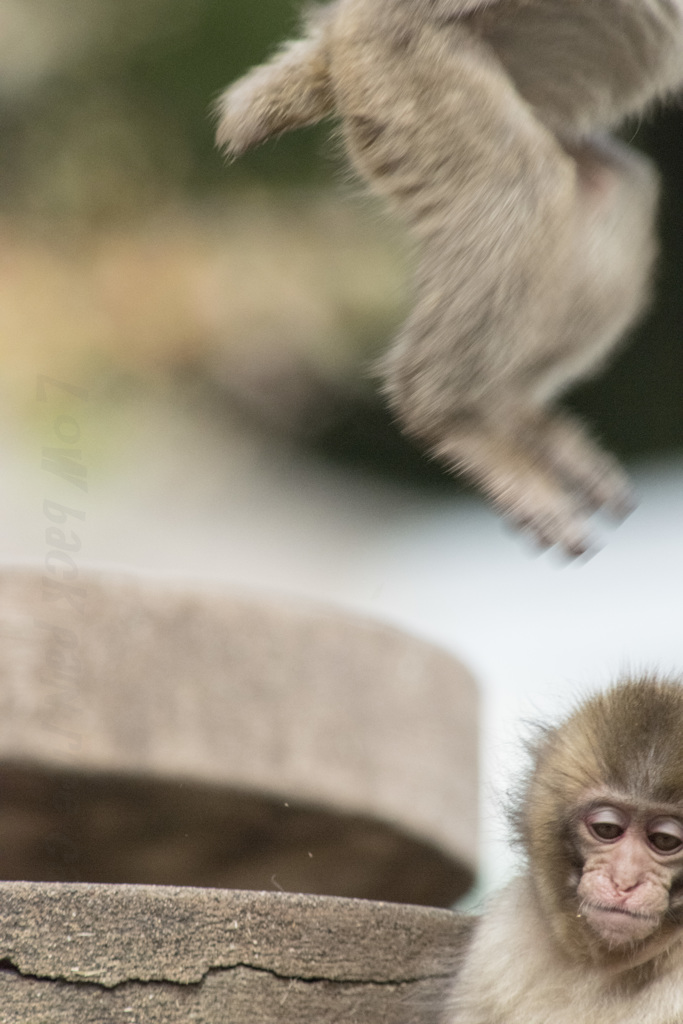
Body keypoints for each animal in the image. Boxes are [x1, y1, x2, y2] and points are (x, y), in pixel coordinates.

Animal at [215, 0, 683, 557]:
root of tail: (338, 29)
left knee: (616, 187)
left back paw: (508, 409)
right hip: (402, 62)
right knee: (518, 189)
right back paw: (449, 420)